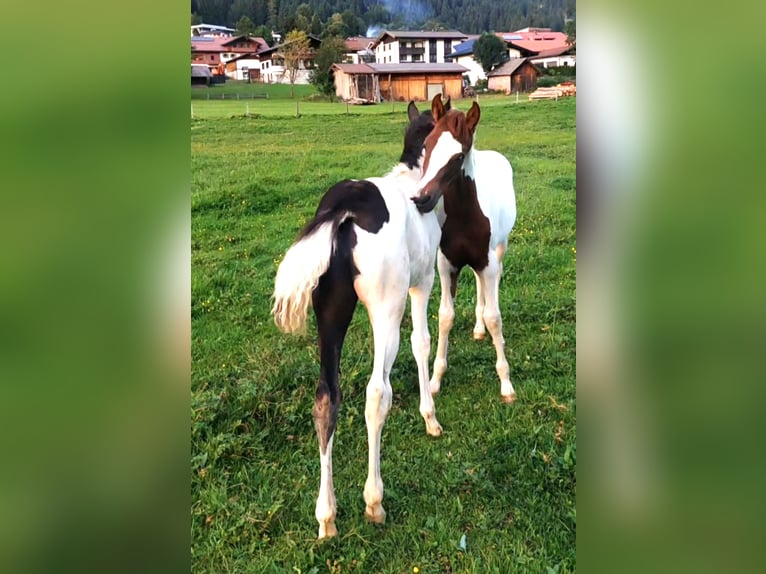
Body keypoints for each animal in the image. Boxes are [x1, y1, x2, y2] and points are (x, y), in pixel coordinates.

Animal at [271, 99, 450, 539]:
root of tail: (344, 208)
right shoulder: (422, 283)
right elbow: (421, 343)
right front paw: (430, 417)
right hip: (386, 308)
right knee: (376, 392)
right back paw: (374, 502)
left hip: (330, 314)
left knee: (325, 398)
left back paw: (326, 518)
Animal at [412, 94, 518, 403]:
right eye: (426, 145)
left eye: (458, 156)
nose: (420, 198)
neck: (464, 215)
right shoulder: (447, 265)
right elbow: (445, 317)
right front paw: (435, 379)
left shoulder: (487, 262)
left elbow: (495, 317)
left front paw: (506, 383)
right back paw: (478, 328)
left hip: (498, 251)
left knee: (493, 284)